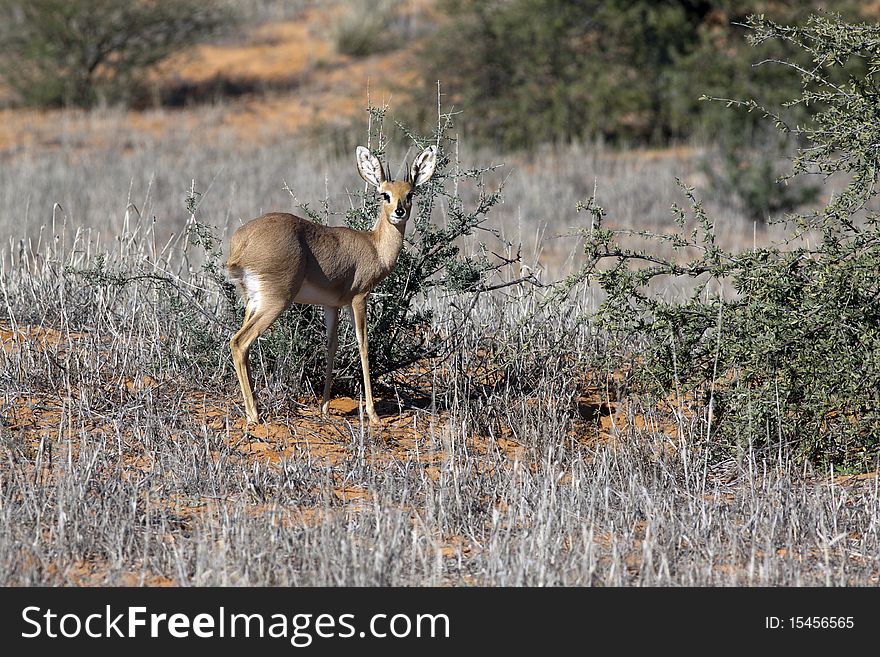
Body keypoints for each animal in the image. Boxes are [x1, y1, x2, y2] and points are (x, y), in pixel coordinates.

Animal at [223, 144, 436, 422]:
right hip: (276, 301)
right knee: (239, 343)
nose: (399, 212)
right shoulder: (359, 298)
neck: (374, 246)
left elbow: (331, 346)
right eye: (384, 194)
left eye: (410, 194)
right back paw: (254, 416)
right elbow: (363, 344)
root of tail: (241, 242)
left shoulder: (331, 305)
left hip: (253, 301)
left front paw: (324, 408)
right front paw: (373, 414)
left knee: (242, 344)